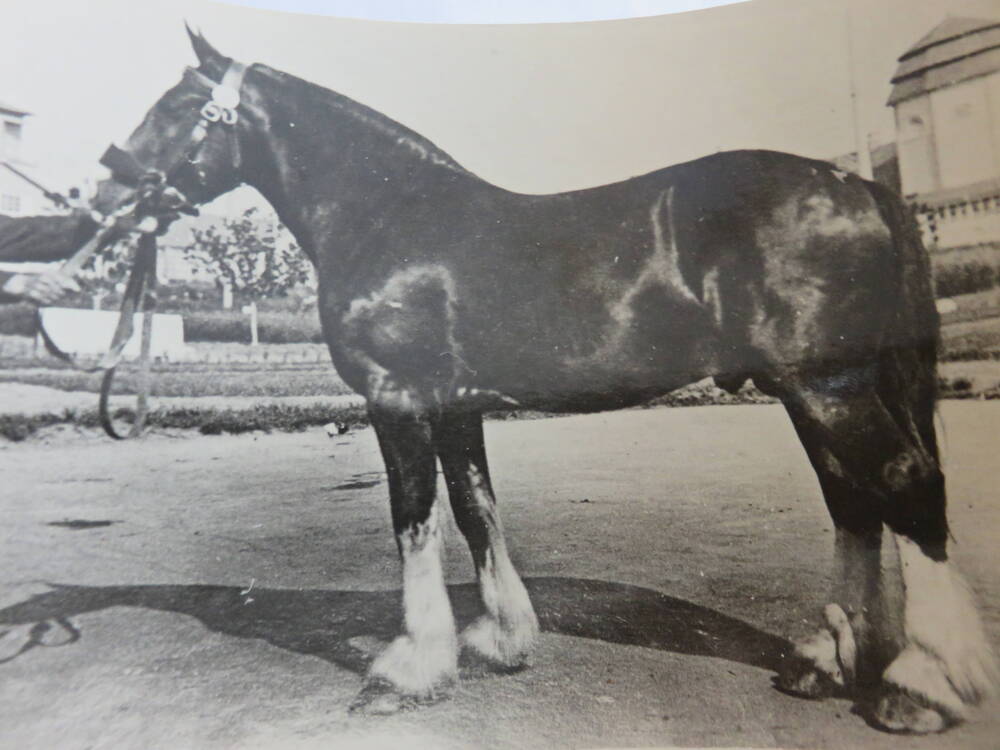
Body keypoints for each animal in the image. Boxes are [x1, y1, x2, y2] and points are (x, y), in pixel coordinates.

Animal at [94, 29, 992, 736]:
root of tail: (864, 187)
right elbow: (476, 510)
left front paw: (408, 670)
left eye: (178, 107)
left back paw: (918, 688)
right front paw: (501, 640)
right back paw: (827, 662)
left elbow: (413, 521)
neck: (391, 216)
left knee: (905, 485)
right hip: (815, 389)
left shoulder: (398, 402)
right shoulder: (455, 409)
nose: (102, 192)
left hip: (827, 384)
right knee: (856, 505)